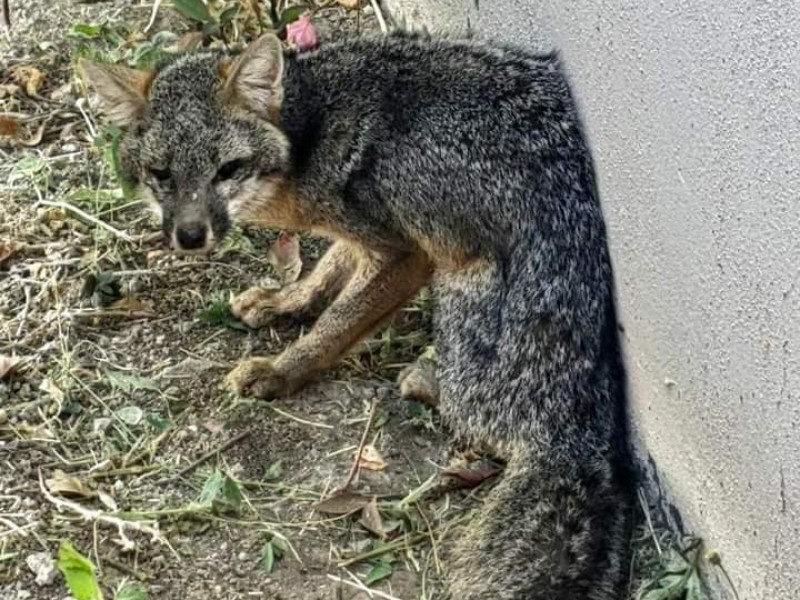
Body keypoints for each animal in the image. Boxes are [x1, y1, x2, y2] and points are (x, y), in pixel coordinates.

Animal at [81, 32, 632, 600]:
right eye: (162, 175)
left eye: (227, 170)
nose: (190, 236)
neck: (311, 131)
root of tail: (576, 437)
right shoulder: (362, 237)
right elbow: (329, 271)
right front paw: (284, 301)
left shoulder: (407, 253)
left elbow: (338, 324)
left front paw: (282, 370)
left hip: (460, 288)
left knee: (480, 422)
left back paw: (423, 378)